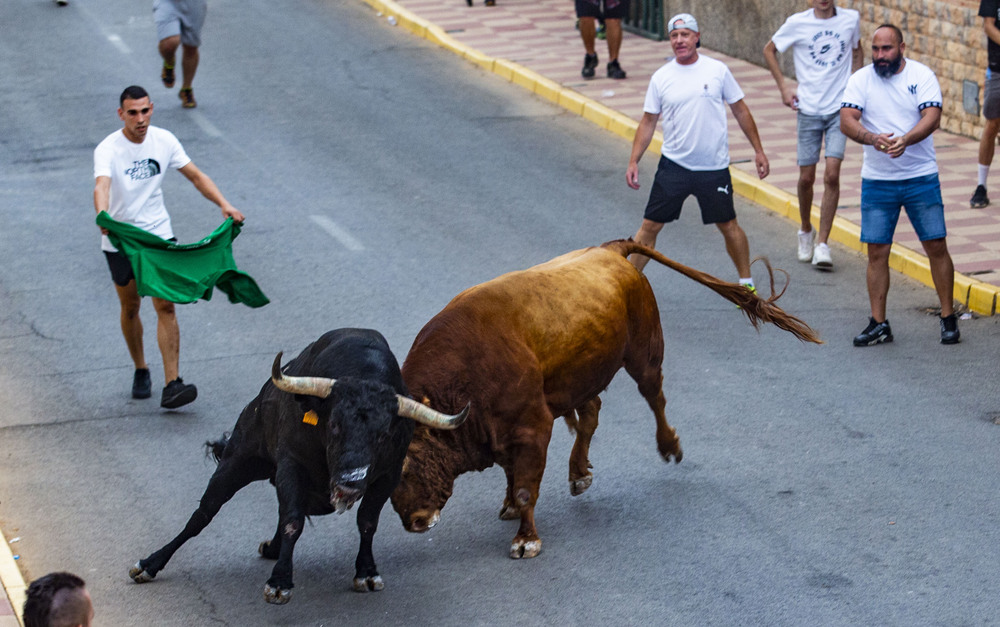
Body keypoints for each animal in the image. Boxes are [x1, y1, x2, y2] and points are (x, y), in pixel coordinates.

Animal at [127, 332, 466, 604]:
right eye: (334, 424)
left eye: (383, 435)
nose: (350, 482)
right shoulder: (292, 465)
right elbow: (292, 521)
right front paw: (279, 583)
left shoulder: (388, 474)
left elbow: (367, 522)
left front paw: (366, 572)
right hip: (238, 459)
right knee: (203, 514)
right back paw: (149, 564)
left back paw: (273, 547)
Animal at [386, 240, 816, 560]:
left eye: (406, 466)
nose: (414, 522)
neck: (465, 377)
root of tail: (611, 249)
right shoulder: (505, 432)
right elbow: (513, 473)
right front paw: (509, 506)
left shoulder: (533, 427)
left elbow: (526, 486)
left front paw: (526, 539)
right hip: (585, 375)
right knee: (591, 414)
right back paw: (579, 473)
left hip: (644, 354)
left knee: (654, 397)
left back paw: (669, 446)